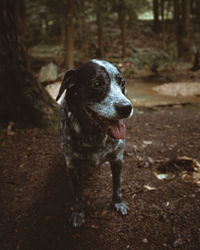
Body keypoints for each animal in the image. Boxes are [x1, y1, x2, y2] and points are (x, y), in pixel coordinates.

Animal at [55, 59, 133, 228]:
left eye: (122, 82)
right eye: (96, 84)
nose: (126, 108)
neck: (94, 135)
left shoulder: (118, 158)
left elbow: (117, 184)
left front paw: (118, 203)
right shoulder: (72, 165)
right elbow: (77, 193)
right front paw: (78, 212)